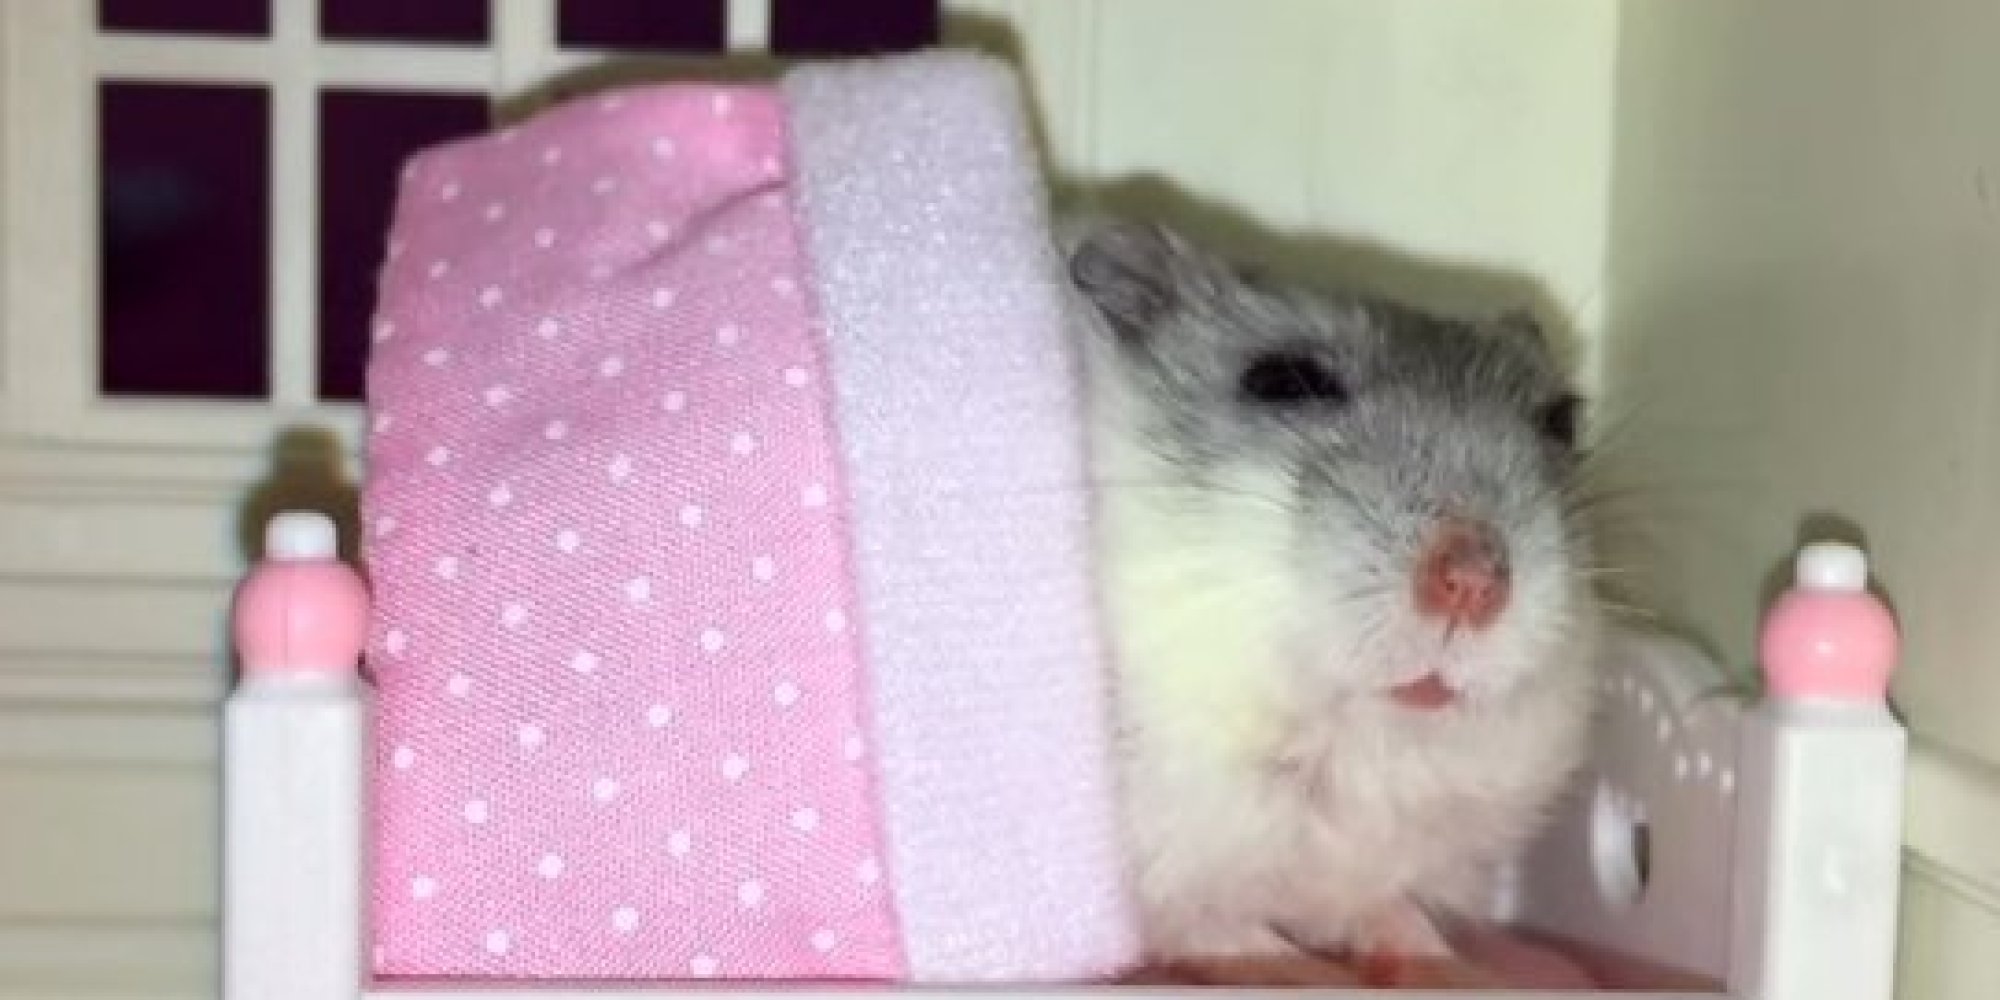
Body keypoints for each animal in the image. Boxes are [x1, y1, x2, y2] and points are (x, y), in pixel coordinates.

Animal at [1057, 215, 1601, 981]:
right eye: (1282, 380)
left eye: (1561, 422)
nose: (1473, 583)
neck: (1342, 734)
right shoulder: (1162, 876)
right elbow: (1215, 927)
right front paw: (1290, 967)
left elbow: (1380, 906)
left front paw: (1437, 960)